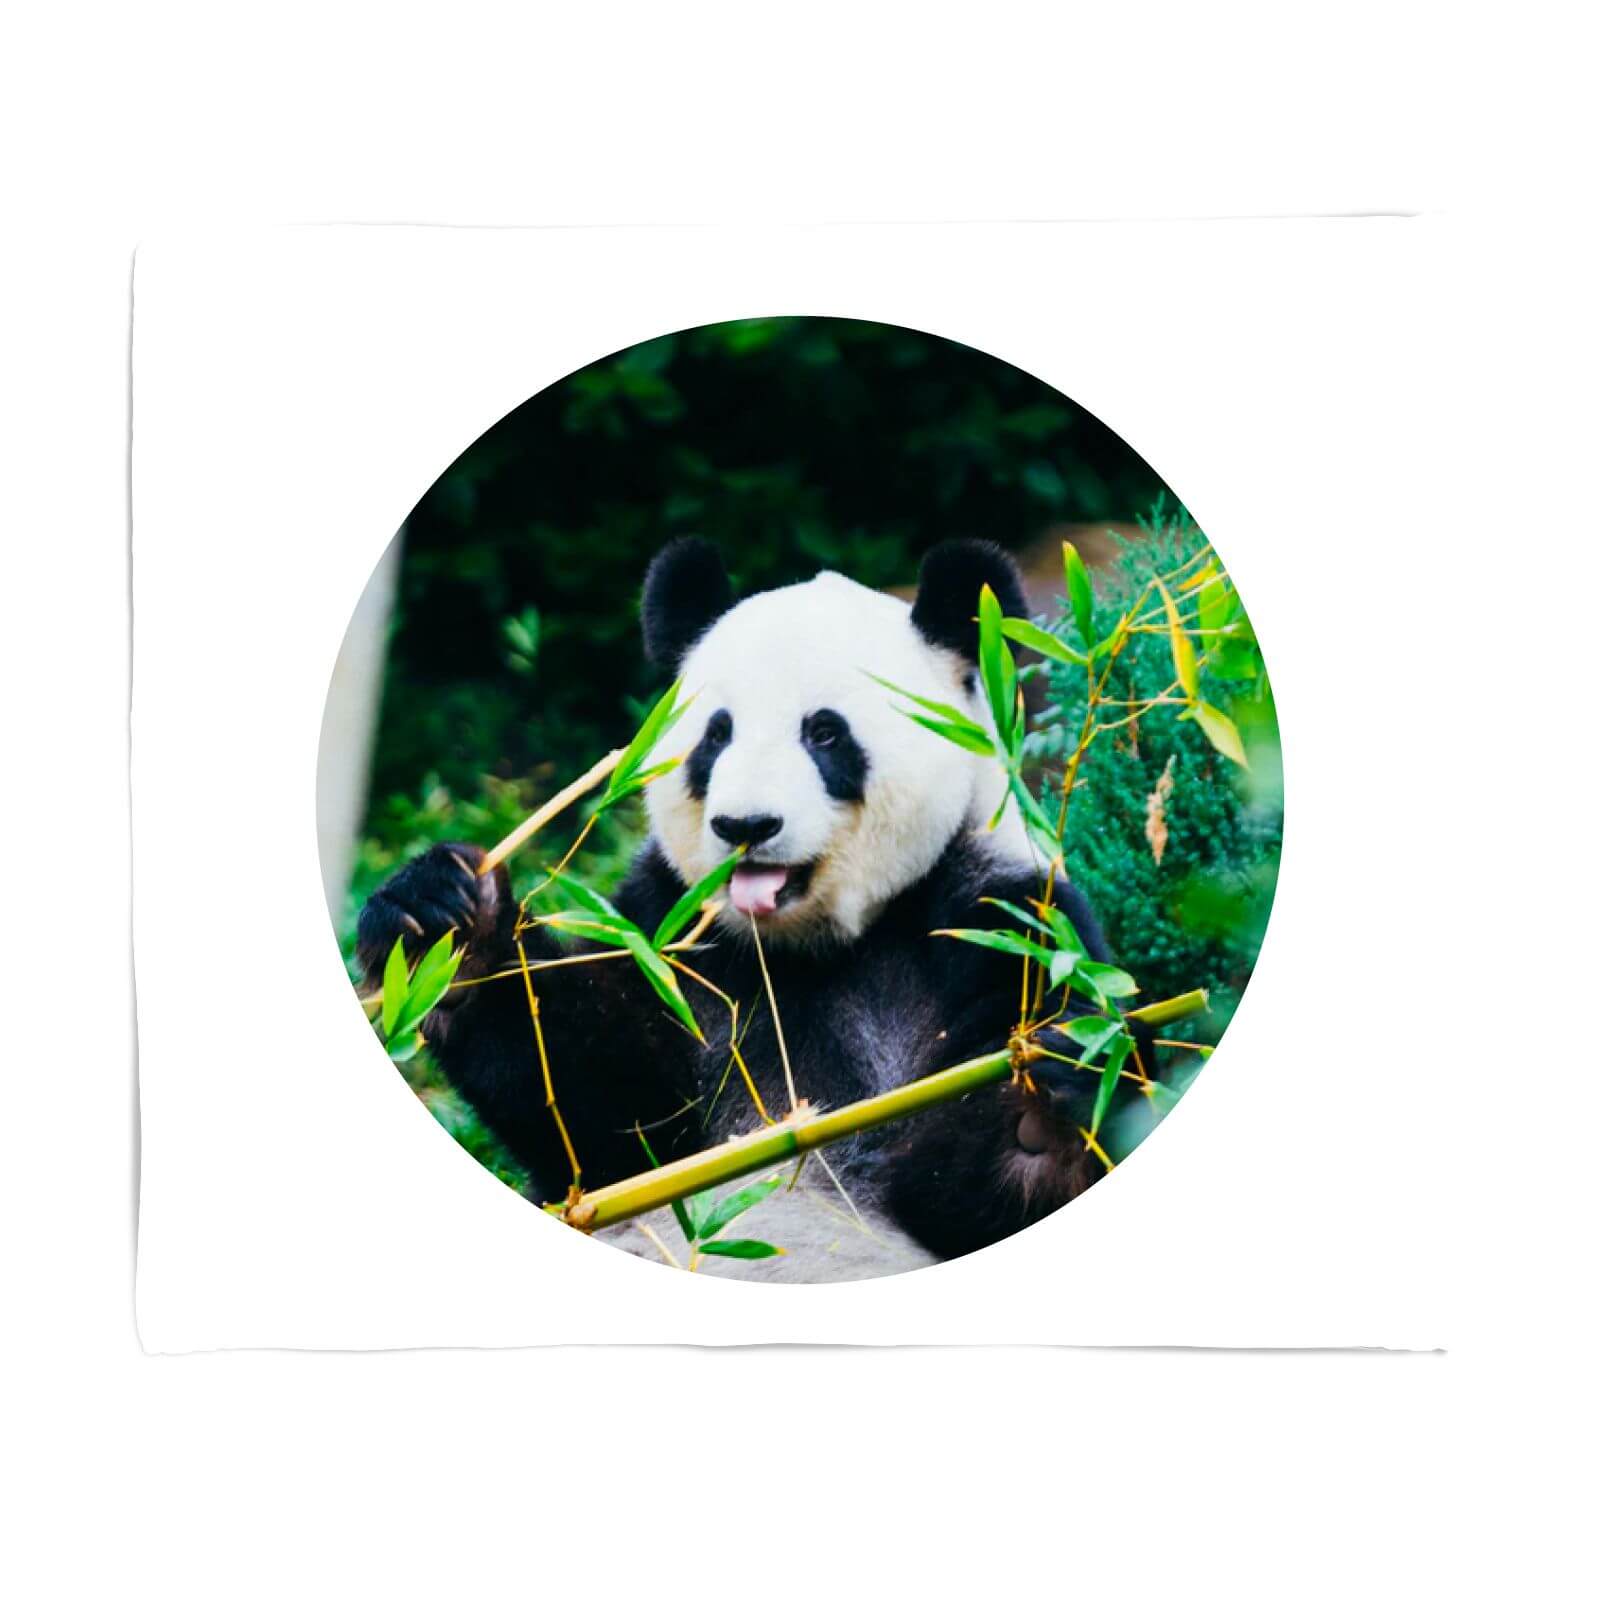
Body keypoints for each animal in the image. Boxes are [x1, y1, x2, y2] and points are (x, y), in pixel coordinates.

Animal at [358, 537, 1138, 1280]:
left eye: (824, 733)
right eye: (716, 734)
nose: (746, 826)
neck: (812, 944)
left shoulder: (1001, 918)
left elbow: (965, 1191)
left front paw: (1043, 1106)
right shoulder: (670, 934)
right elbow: (606, 1124)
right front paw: (452, 929)